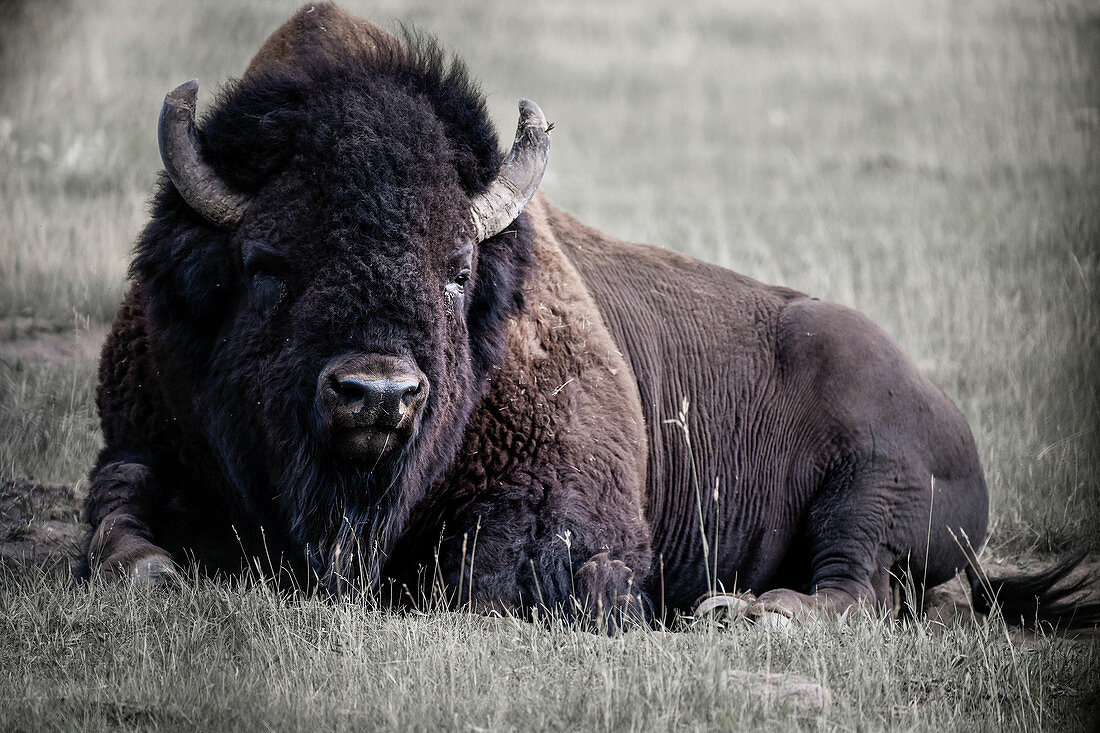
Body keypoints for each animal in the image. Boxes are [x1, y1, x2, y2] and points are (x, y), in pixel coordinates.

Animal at [83, 2, 1091, 625]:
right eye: (265, 263)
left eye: (457, 268)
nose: (379, 393)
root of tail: (955, 420)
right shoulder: (142, 439)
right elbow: (118, 519)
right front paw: (158, 570)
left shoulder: (567, 510)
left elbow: (502, 576)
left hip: (872, 487)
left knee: (855, 587)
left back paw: (743, 613)